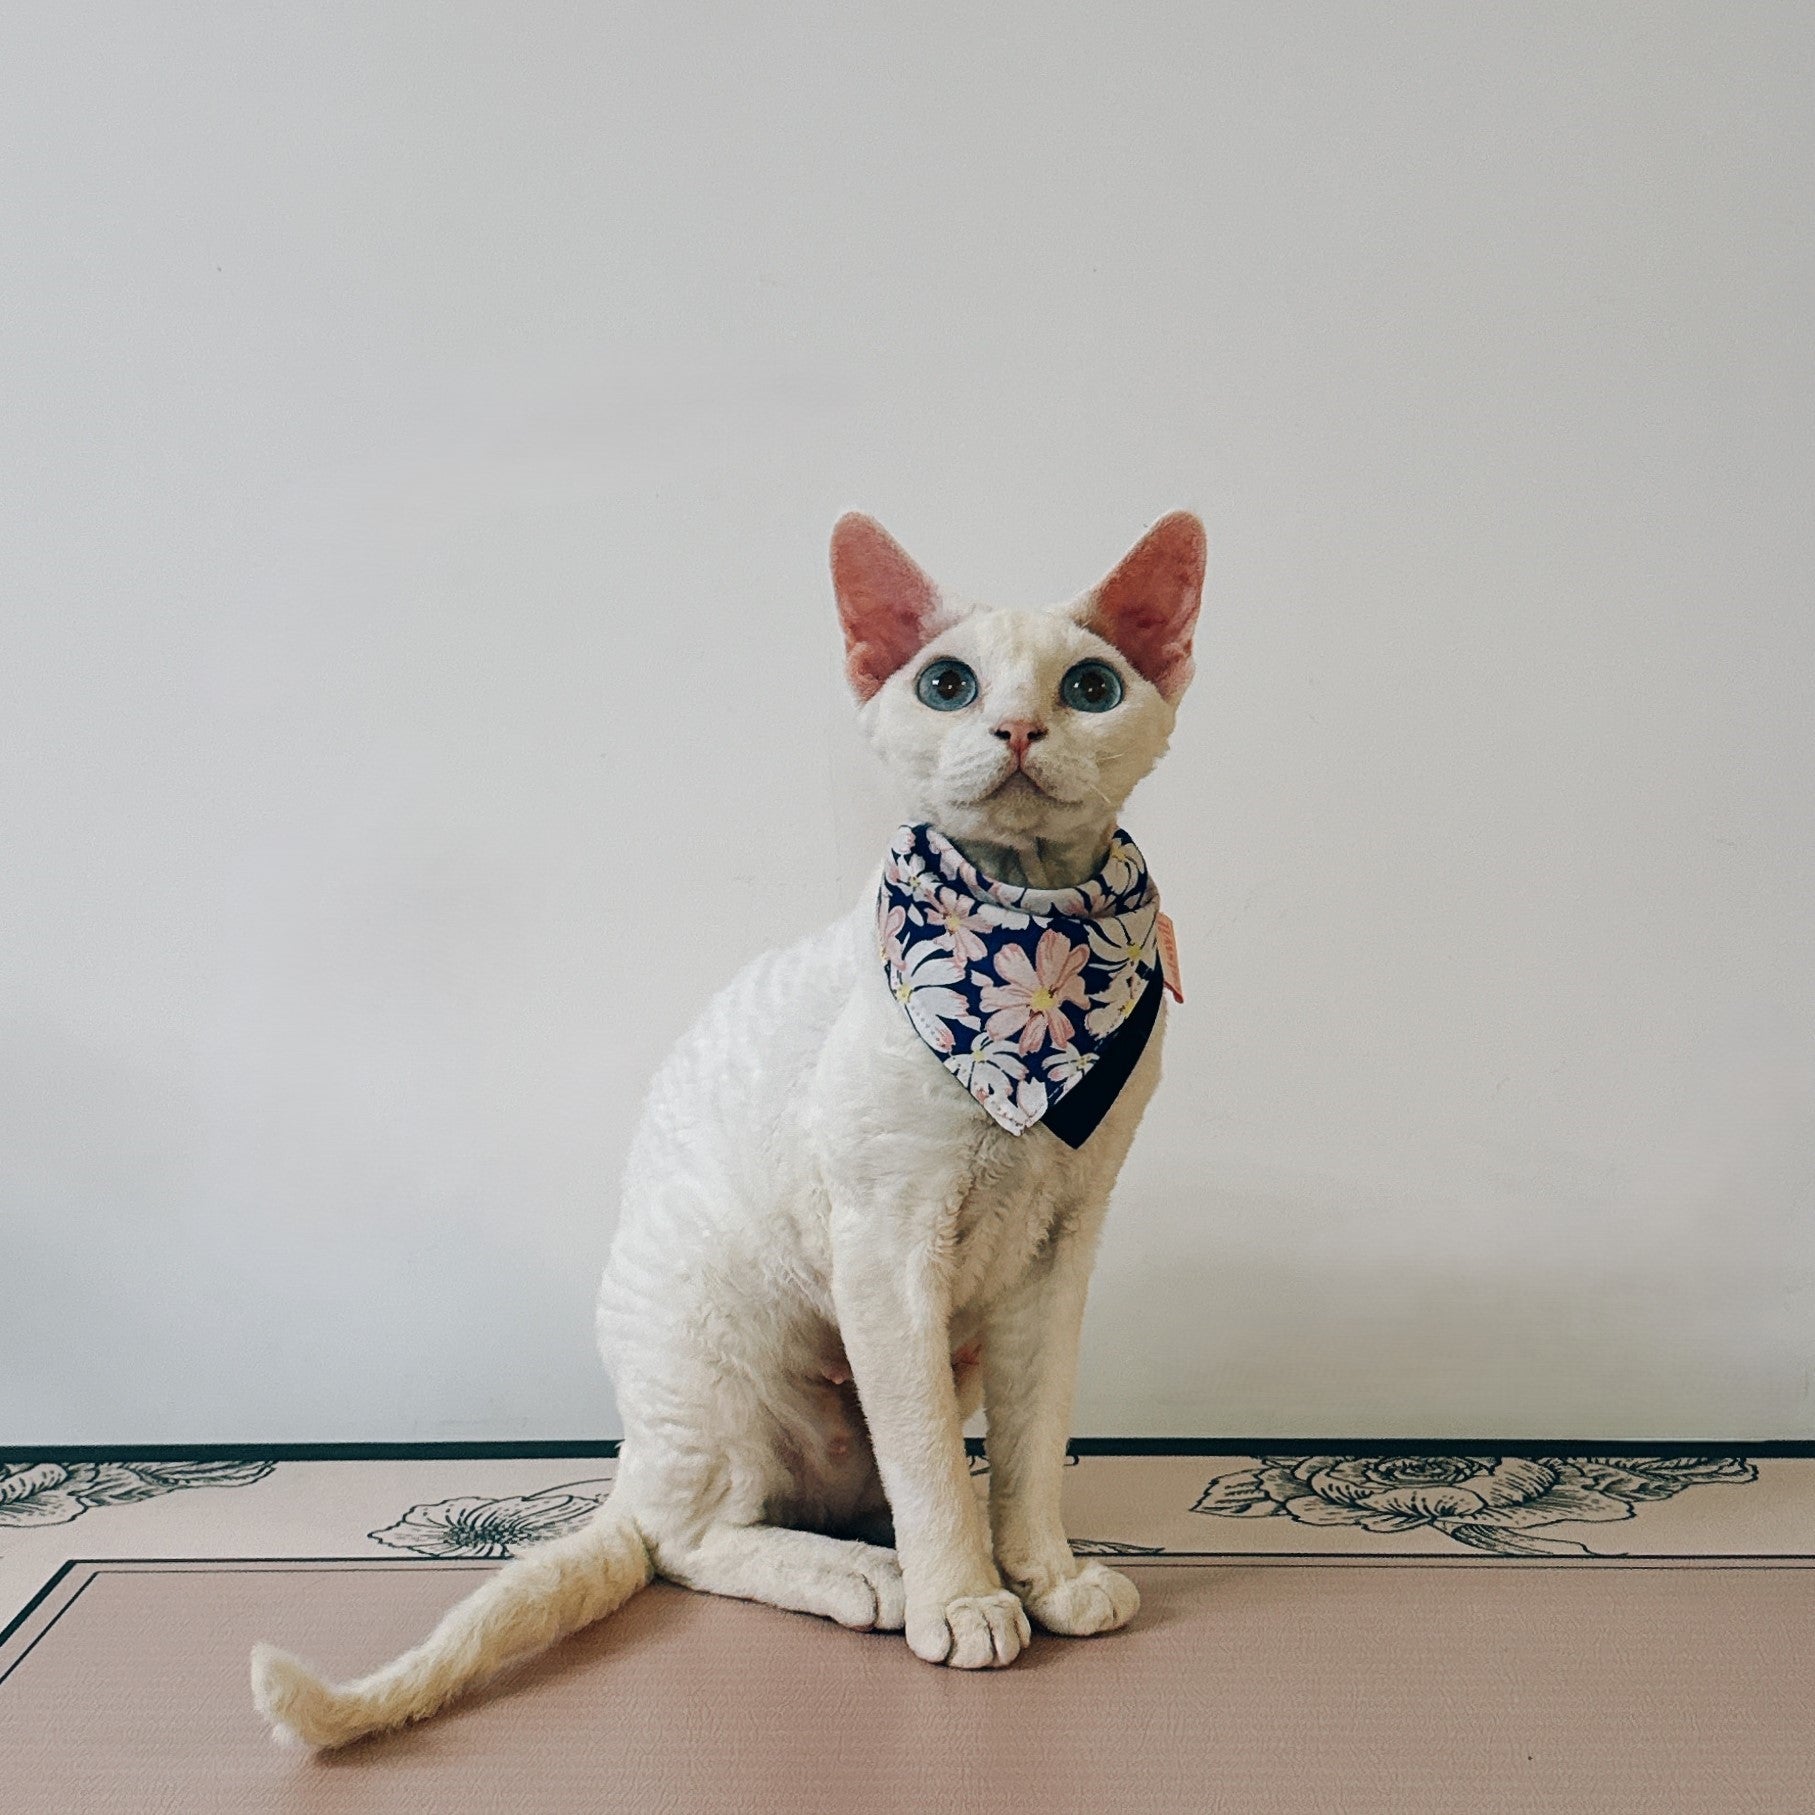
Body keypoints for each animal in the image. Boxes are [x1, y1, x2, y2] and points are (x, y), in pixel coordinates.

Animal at [248, 508, 1197, 1742]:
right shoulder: (886, 1241)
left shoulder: (1060, 1243)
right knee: (689, 1542)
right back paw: (878, 1579)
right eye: (947, 683)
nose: (1019, 725)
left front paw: (1044, 1573)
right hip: (725, 1345)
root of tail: (636, 1453)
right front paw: (966, 1602)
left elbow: (1033, 1446)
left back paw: (884, 1548)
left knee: (836, 1490)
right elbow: (933, 1465)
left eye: (1091, 686)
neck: (1029, 940)